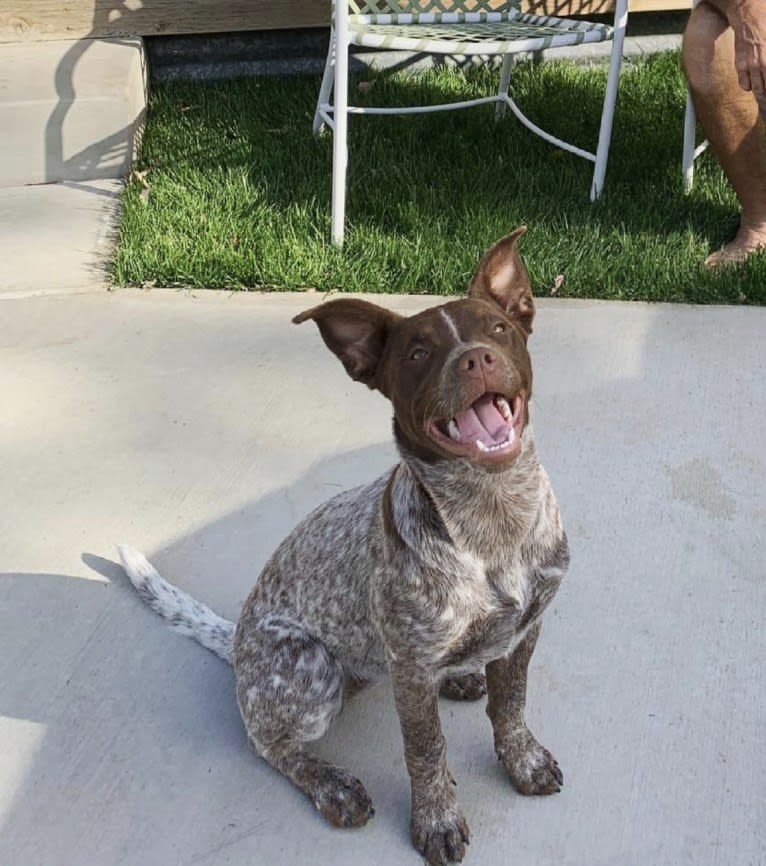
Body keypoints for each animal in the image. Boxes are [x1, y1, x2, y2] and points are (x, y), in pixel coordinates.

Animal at [120, 228, 568, 864]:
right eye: (417, 354)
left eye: (498, 328)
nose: (477, 358)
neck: (493, 514)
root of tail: (237, 643)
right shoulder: (411, 668)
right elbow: (426, 751)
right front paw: (436, 821)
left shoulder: (525, 630)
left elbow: (511, 707)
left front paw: (522, 762)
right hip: (311, 672)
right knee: (268, 743)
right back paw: (329, 784)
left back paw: (458, 676)